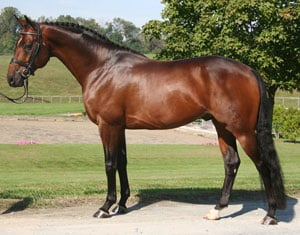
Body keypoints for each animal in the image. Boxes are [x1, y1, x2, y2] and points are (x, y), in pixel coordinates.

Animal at [5, 16, 284, 224]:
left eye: (27, 45)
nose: (12, 78)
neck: (102, 67)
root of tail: (248, 70)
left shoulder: (108, 125)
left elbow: (109, 163)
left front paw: (105, 207)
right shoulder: (120, 127)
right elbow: (122, 162)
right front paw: (122, 204)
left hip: (243, 130)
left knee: (263, 164)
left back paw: (270, 215)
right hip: (222, 127)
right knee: (231, 163)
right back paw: (217, 210)